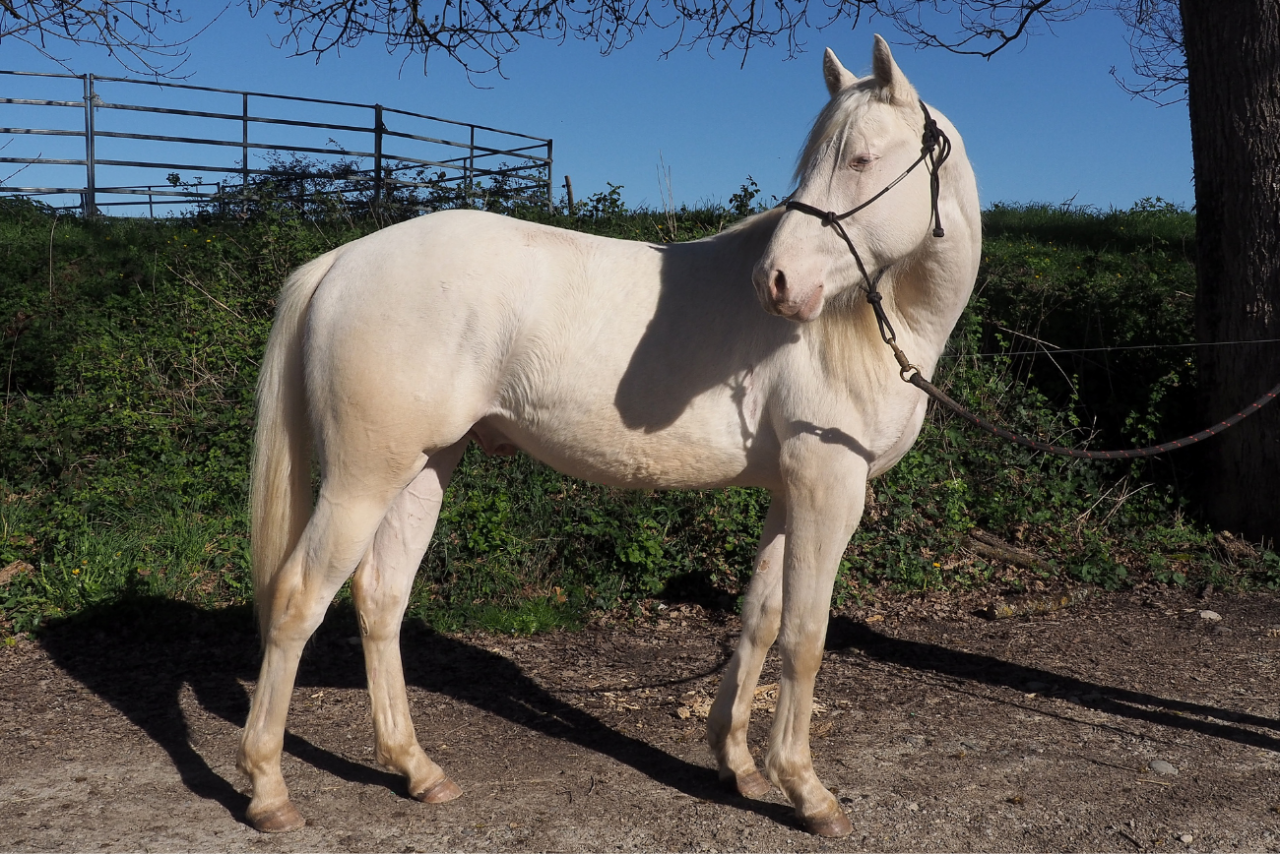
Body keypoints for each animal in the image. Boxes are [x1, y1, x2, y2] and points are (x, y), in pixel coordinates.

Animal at [237, 34, 981, 838]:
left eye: (863, 159)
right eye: (821, 159)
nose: (777, 283)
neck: (871, 323)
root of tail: (343, 260)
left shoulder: (792, 492)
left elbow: (760, 618)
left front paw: (738, 765)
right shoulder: (828, 487)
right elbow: (805, 636)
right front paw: (807, 791)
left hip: (423, 468)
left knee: (381, 598)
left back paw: (417, 770)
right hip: (361, 480)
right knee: (299, 599)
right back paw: (269, 789)